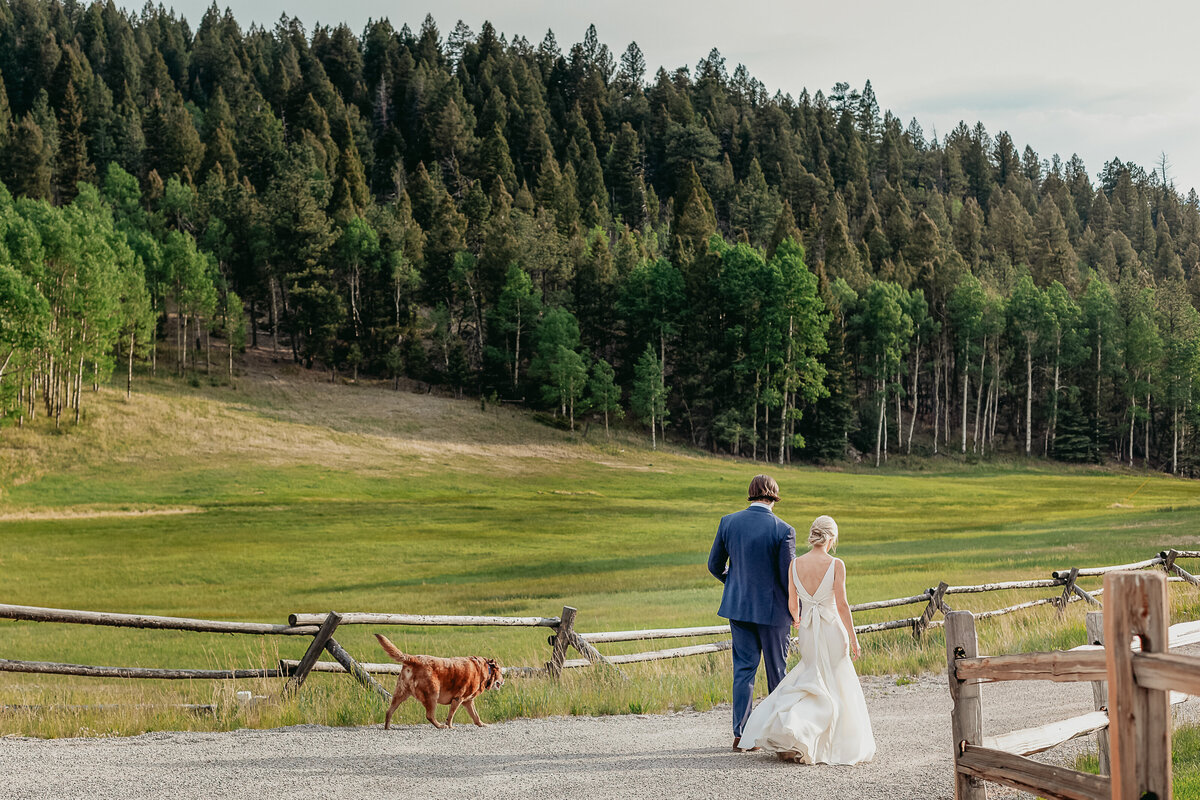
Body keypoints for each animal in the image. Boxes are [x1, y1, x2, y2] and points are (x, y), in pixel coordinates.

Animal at [376, 633, 504, 729]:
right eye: (501, 672)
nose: (503, 681)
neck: (484, 669)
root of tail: (412, 659)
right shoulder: (458, 699)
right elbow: (451, 715)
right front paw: (450, 726)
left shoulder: (468, 701)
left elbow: (475, 715)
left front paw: (481, 724)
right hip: (433, 693)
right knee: (429, 715)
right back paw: (440, 726)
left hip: (400, 693)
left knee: (389, 711)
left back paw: (387, 727)